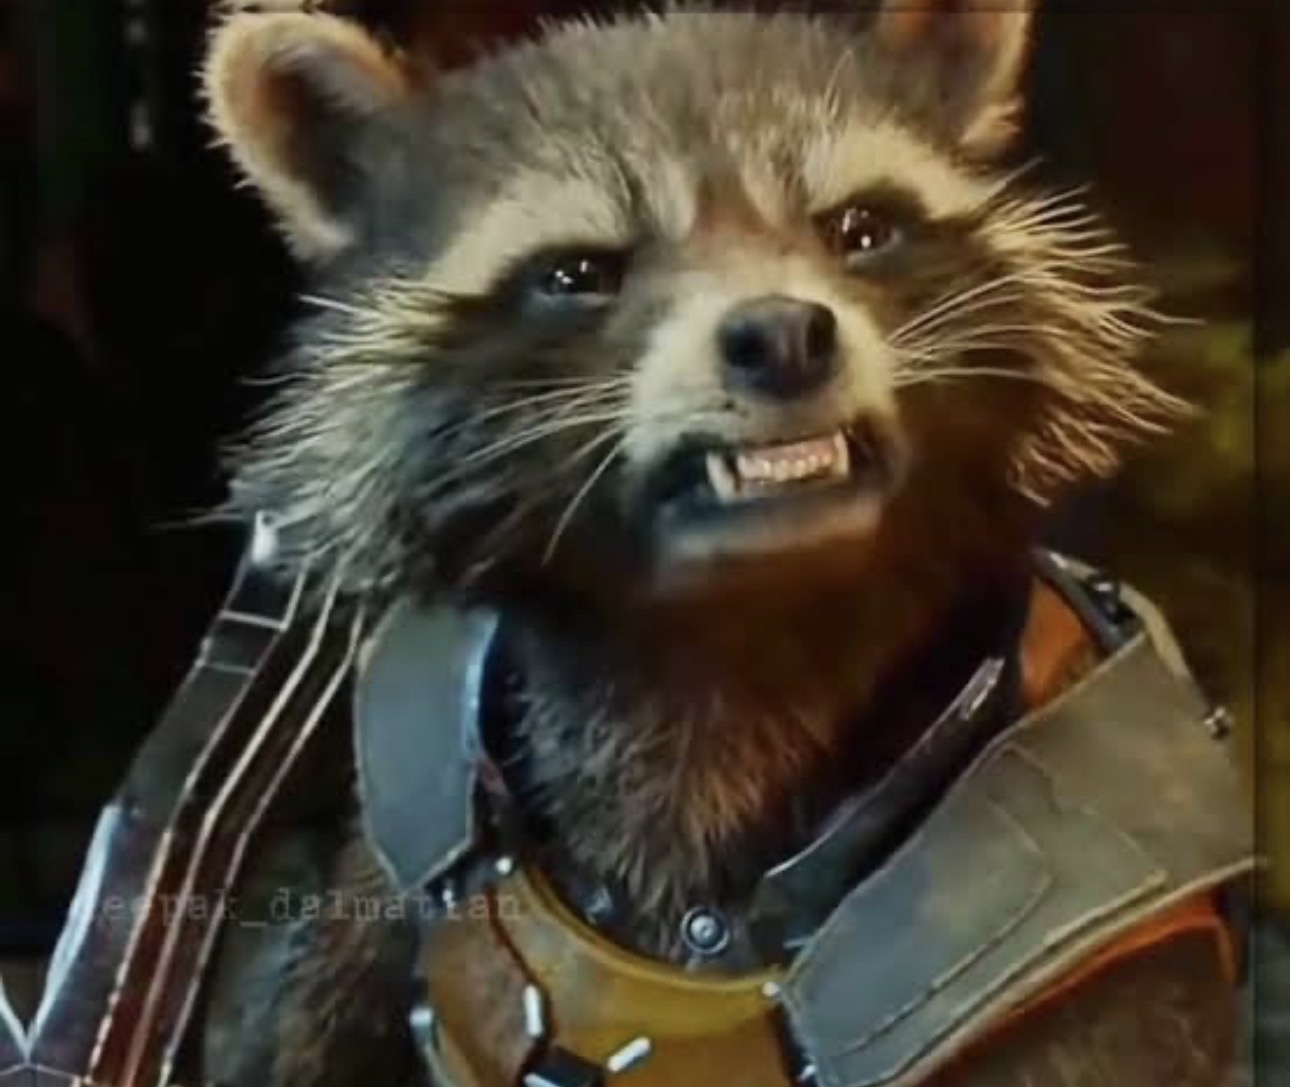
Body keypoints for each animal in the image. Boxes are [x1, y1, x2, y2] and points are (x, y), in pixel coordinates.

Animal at [195, 2, 1239, 1085]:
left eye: (859, 230)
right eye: (579, 272)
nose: (782, 336)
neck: (735, 625)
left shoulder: (1100, 950)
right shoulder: (406, 813)